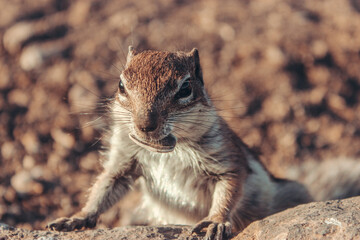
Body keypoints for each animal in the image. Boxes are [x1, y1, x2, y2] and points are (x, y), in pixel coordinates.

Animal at [47, 47, 312, 240]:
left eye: (185, 88)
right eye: (121, 86)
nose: (145, 125)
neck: (165, 150)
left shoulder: (226, 159)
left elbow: (229, 190)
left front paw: (215, 221)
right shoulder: (123, 160)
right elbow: (103, 189)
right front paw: (76, 217)